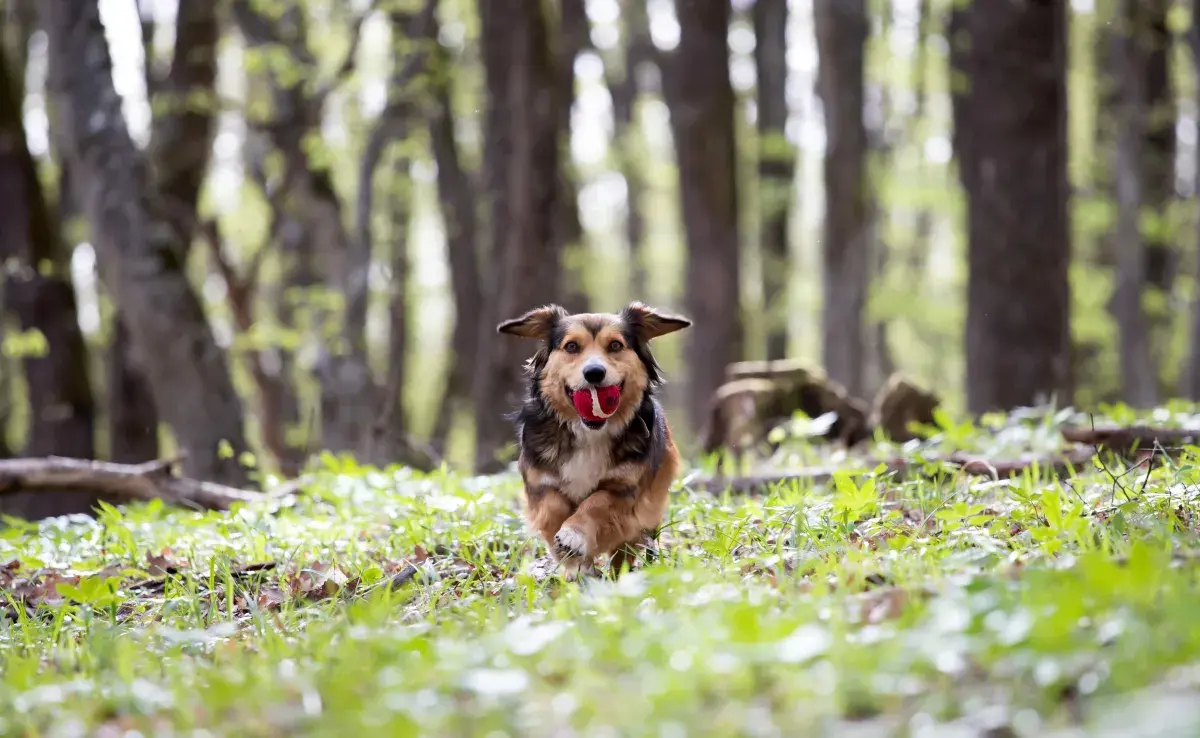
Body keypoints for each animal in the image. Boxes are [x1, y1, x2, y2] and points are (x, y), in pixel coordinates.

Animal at [496, 303, 691, 580]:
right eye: (571, 347)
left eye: (615, 345)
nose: (594, 373)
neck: (589, 433)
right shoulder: (539, 482)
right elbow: (553, 506)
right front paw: (569, 554)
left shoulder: (624, 489)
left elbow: (596, 502)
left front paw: (573, 535)